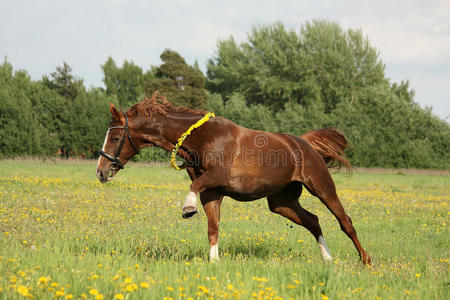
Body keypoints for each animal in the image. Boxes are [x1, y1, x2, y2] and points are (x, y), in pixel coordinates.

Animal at [96, 94, 372, 264]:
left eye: (114, 137)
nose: (100, 172)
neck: (202, 138)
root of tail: (305, 144)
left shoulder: (217, 177)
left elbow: (193, 187)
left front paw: (188, 208)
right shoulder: (213, 192)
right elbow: (213, 227)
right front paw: (214, 261)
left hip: (322, 187)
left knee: (345, 221)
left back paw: (365, 260)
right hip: (281, 202)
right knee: (313, 221)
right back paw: (328, 259)